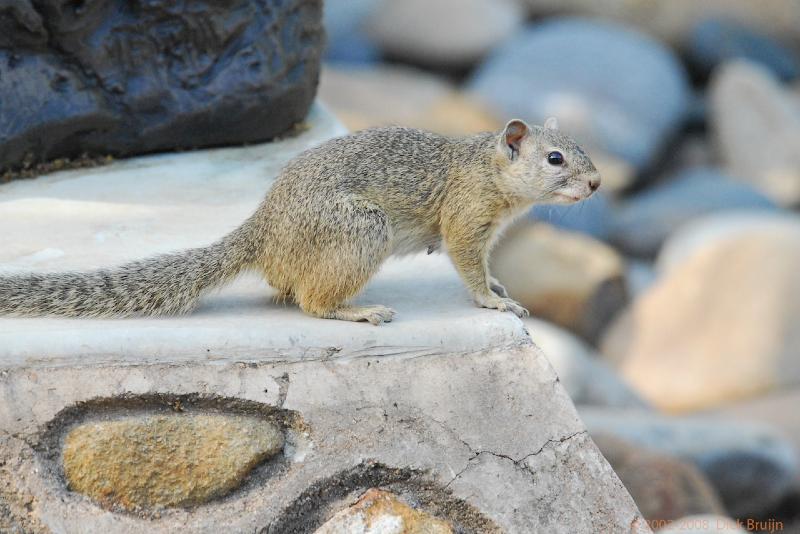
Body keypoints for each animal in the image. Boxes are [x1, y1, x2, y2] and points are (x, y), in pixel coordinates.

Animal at [0, 119, 600, 324]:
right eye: (555, 159)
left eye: (580, 146)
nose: (596, 184)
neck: (485, 168)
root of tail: (264, 233)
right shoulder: (465, 219)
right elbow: (467, 267)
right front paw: (493, 300)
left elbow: (484, 267)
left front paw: (499, 285)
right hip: (361, 231)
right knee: (311, 303)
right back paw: (359, 311)